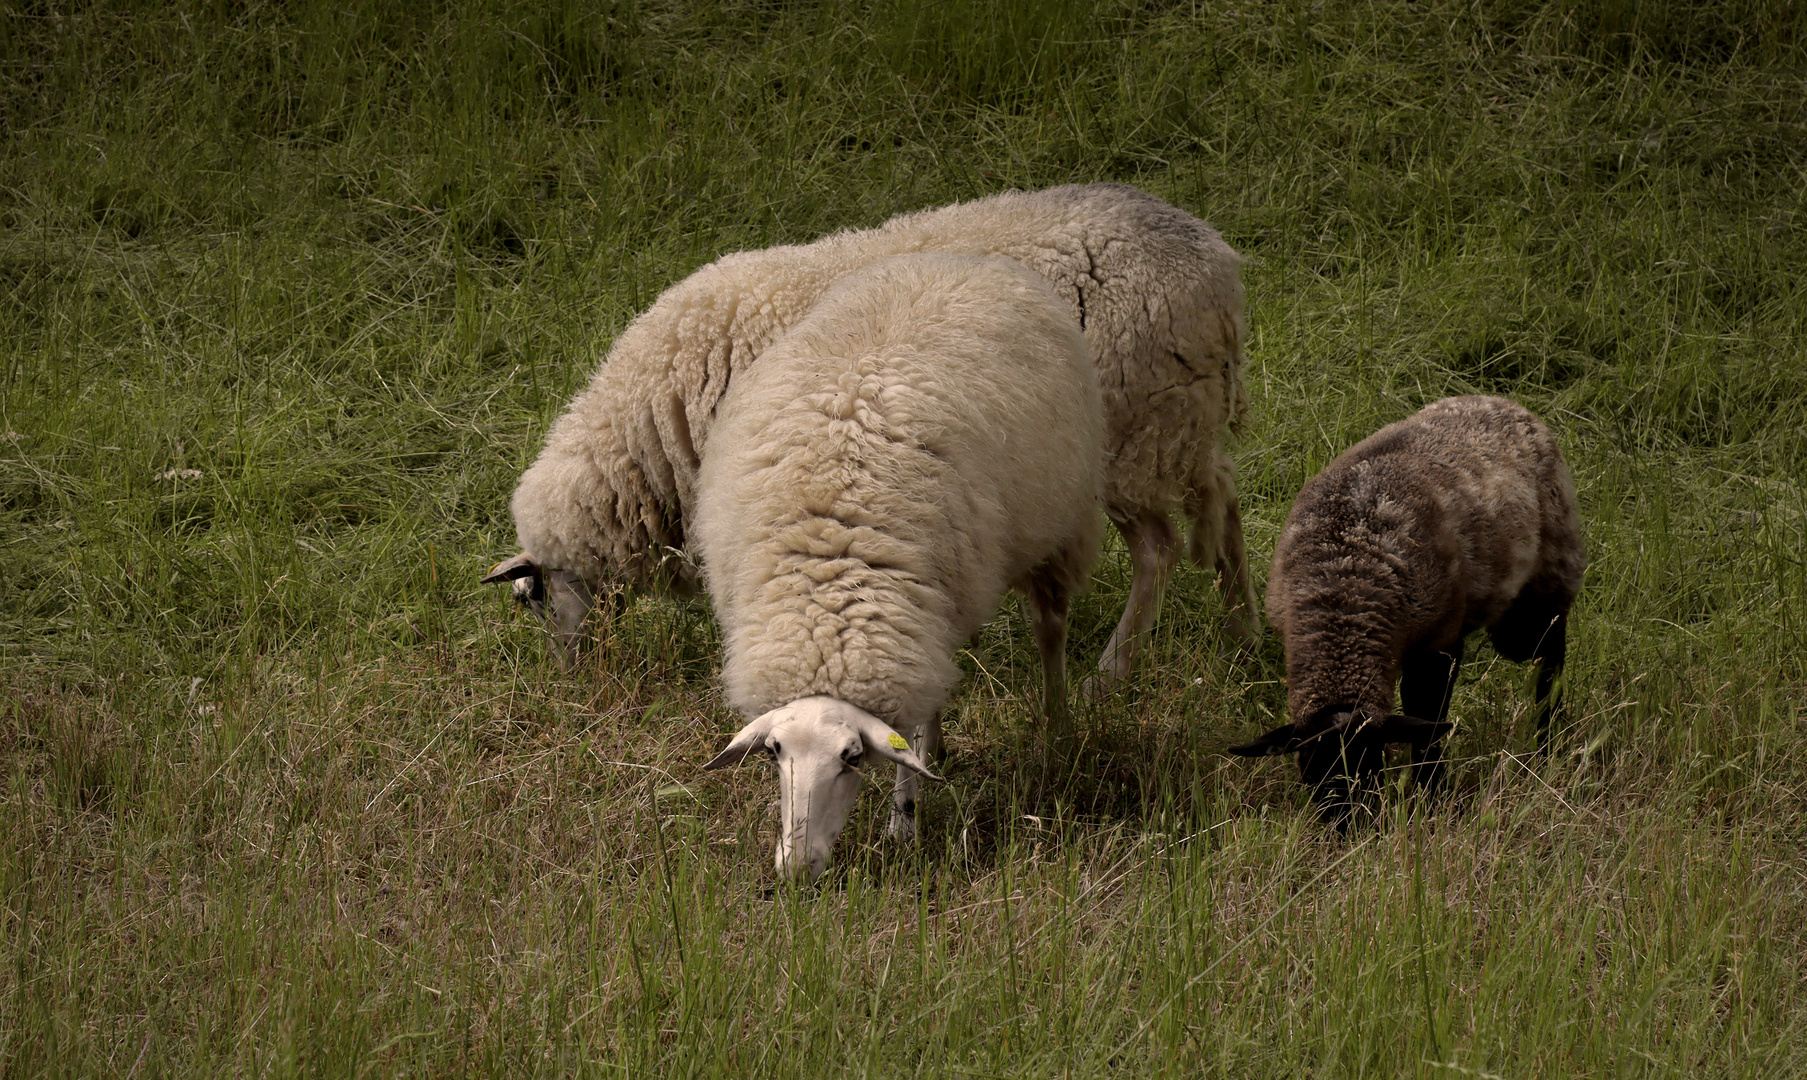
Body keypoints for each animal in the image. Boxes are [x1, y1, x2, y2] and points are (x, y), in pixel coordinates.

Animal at [480, 183, 1257, 682]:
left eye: (534, 597)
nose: (573, 683)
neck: (655, 426)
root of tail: (1217, 263)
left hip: (1132, 429)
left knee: (1159, 549)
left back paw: (1113, 668)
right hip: (1180, 418)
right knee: (1224, 500)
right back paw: (1242, 633)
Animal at [690, 258, 1098, 884]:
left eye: (851, 757)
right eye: (773, 752)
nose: (796, 871)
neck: (827, 588)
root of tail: (961, 257)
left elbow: (910, 740)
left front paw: (903, 822)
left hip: (1057, 523)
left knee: (1049, 627)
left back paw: (1057, 728)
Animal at [1235, 393, 1590, 827]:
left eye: (1371, 767)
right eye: (1310, 771)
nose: (1346, 829)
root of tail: (1502, 401)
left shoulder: (1438, 644)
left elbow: (1428, 723)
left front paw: (1432, 798)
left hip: (1546, 584)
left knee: (1550, 655)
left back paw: (1547, 743)